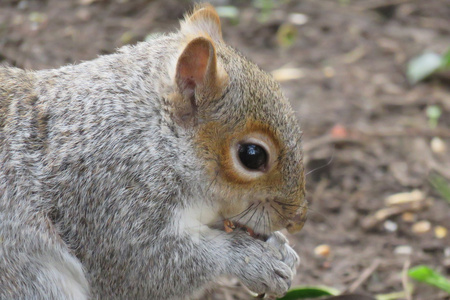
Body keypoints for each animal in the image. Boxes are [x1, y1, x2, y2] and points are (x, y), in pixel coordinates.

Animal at [0, 2, 308, 300]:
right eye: (252, 156)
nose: (298, 221)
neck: (157, 141)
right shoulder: (109, 196)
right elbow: (145, 269)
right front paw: (252, 259)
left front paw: (282, 249)